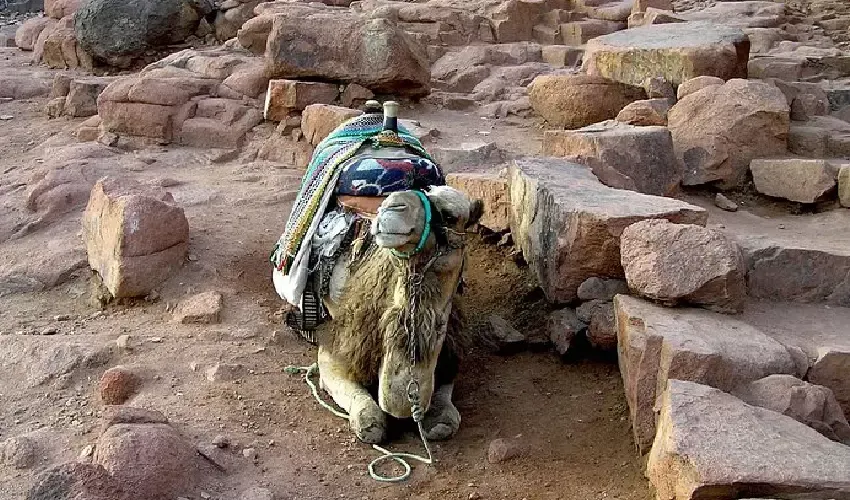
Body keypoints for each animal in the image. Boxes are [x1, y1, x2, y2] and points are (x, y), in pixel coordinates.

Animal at [314, 186, 483, 444]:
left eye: (450, 216)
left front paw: (437, 418)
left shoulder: (451, 355)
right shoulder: (335, 350)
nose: (392, 206)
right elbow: (370, 422)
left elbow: (446, 420)